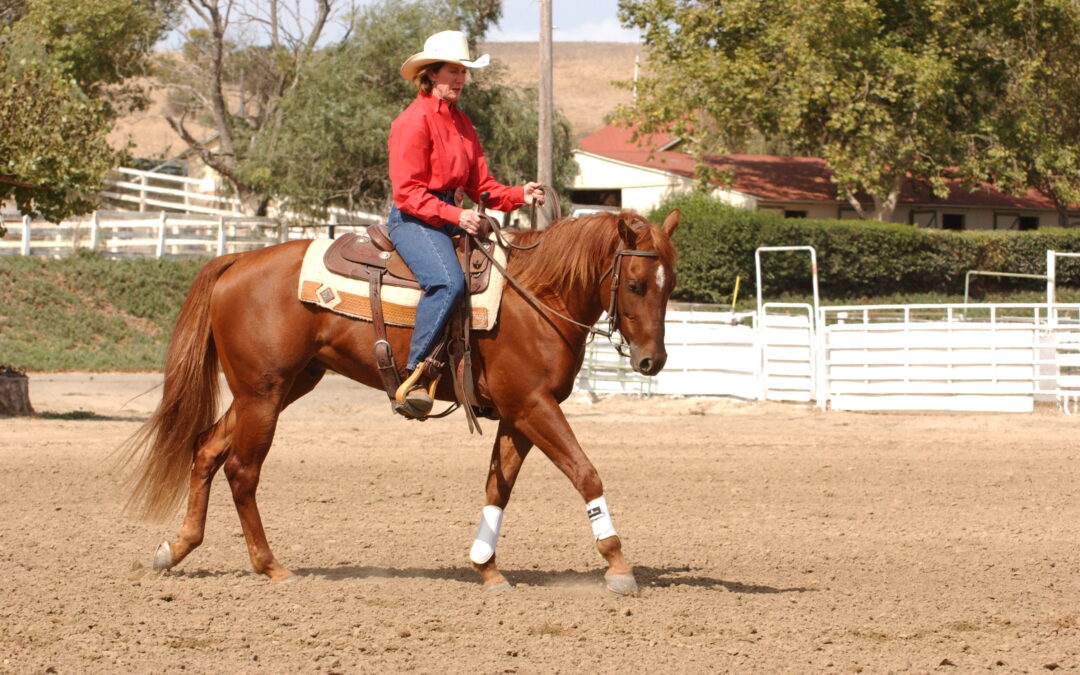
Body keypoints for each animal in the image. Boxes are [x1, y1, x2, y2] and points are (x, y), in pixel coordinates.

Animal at [120, 208, 679, 594]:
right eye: (634, 284)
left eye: (669, 285)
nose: (653, 361)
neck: (537, 295)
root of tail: (237, 259)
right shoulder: (534, 406)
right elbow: (586, 473)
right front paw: (618, 566)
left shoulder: (518, 414)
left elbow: (498, 488)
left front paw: (487, 569)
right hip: (263, 393)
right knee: (241, 470)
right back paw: (271, 566)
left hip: (279, 387)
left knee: (207, 449)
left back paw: (175, 548)